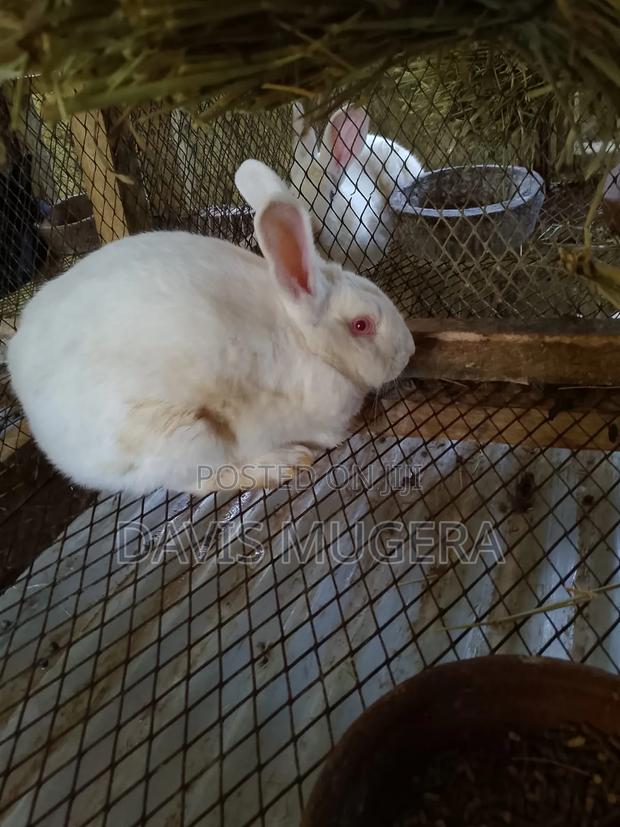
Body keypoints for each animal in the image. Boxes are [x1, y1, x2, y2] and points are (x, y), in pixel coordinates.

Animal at [7, 159, 415, 498]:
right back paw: (285, 463)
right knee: (204, 481)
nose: (409, 351)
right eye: (361, 325)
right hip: (184, 438)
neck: (303, 343)